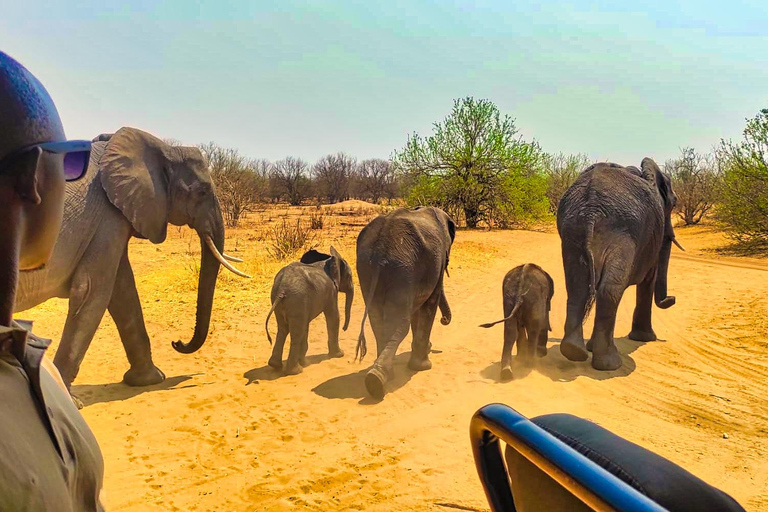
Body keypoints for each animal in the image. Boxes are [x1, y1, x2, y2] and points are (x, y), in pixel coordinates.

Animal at [14, 125, 249, 396]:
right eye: (202, 192)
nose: (177, 342)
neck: (164, 148)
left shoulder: (114, 216)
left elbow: (123, 292)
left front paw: (149, 380)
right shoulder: (105, 216)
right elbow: (93, 291)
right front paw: (68, 397)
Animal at [264, 248, 354, 376]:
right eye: (350, 276)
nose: (344, 329)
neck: (328, 260)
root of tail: (282, 289)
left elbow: (306, 325)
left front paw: (305, 362)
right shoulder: (331, 292)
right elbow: (333, 317)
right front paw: (339, 355)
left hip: (282, 299)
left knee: (283, 329)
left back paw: (276, 365)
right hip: (297, 298)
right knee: (296, 333)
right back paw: (296, 371)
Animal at [552, 158, 684, 370]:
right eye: (674, 203)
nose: (672, 299)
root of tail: (590, 210)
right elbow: (648, 279)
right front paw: (644, 338)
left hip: (572, 233)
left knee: (577, 287)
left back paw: (574, 351)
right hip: (622, 234)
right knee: (609, 290)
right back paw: (609, 363)